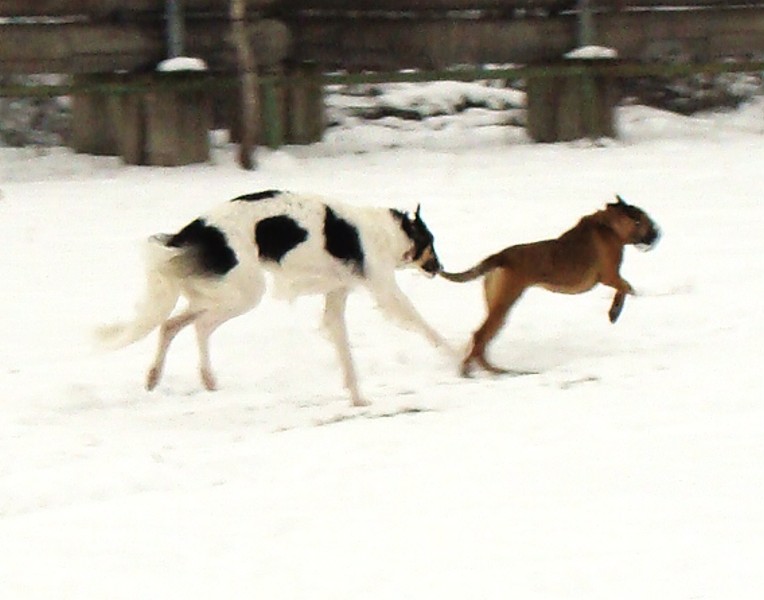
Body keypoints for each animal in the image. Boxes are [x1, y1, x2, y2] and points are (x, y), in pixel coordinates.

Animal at [438, 197, 660, 376]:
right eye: (644, 220)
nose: (658, 233)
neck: (609, 225)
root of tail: (501, 256)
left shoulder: (612, 277)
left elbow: (624, 289)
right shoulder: (610, 276)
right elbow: (626, 288)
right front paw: (615, 311)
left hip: (498, 306)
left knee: (482, 340)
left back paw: (494, 370)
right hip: (504, 302)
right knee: (480, 337)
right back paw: (471, 370)